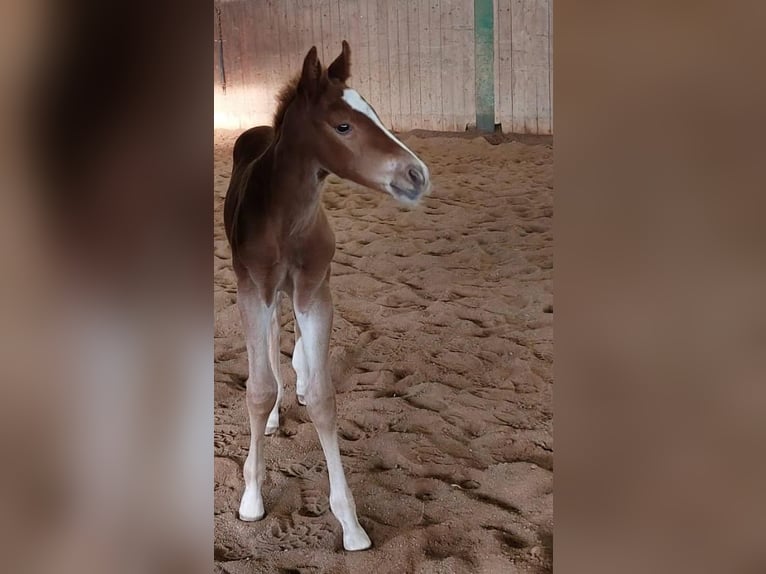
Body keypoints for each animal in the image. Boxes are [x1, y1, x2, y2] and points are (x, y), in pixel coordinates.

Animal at [223, 41, 431, 551]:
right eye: (343, 125)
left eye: (373, 112)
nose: (417, 174)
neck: (284, 220)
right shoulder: (251, 288)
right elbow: (258, 389)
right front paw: (252, 498)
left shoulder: (316, 290)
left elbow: (322, 397)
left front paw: (350, 525)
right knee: (271, 340)